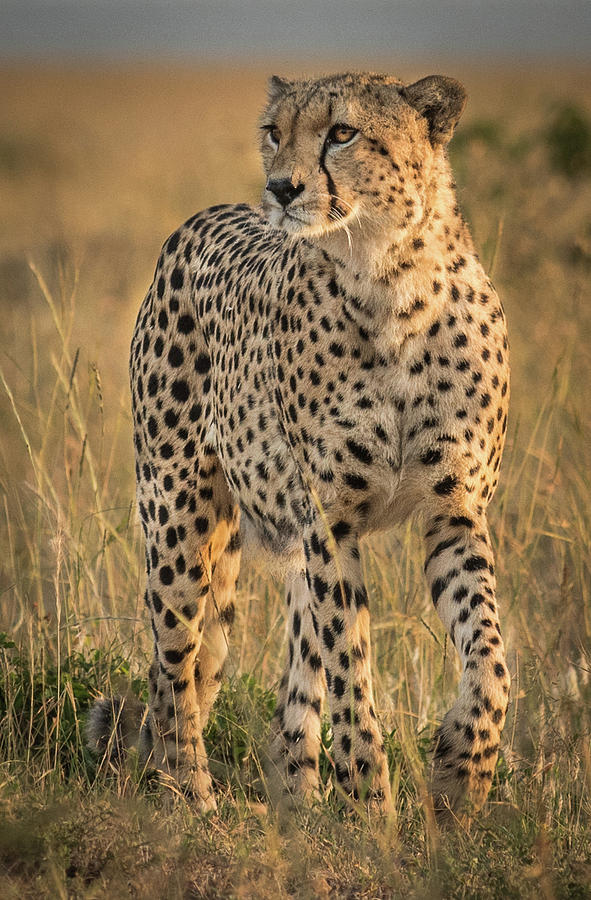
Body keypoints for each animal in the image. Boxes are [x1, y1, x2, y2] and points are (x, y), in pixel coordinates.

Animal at [90, 74, 512, 820]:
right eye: (273, 132)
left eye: (341, 133)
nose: (282, 188)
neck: (391, 281)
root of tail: (205, 217)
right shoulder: (330, 521)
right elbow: (350, 666)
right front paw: (370, 806)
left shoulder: (454, 510)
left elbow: (487, 654)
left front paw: (461, 776)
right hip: (180, 520)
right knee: (176, 665)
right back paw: (191, 797)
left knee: (273, 665)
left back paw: (296, 804)